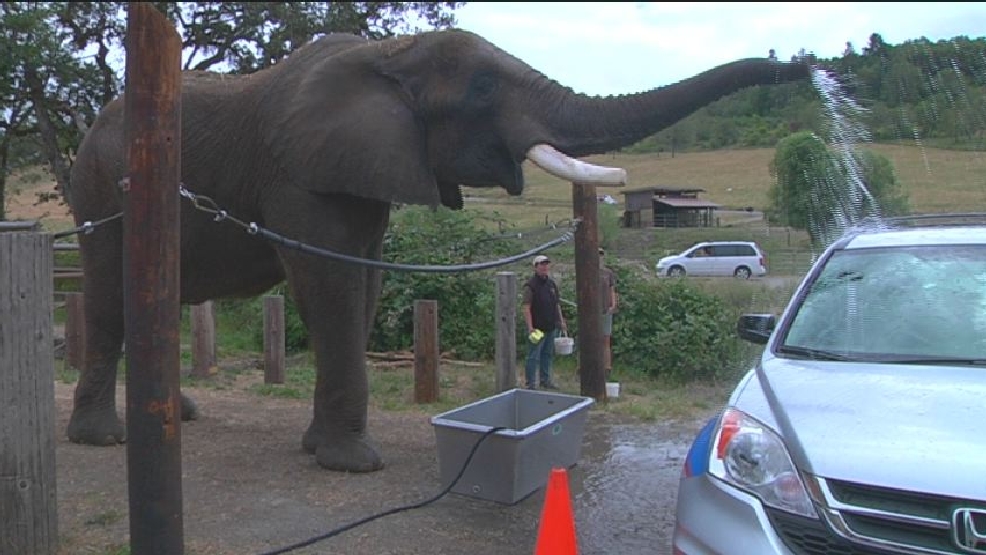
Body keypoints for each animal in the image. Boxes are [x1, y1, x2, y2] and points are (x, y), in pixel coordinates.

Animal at [66, 29, 811, 472]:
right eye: (482, 90)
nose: (802, 61)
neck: (391, 54)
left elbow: (363, 282)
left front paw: (321, 449)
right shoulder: (301, 175)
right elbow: (331, 285)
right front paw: (352, 463)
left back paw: (179, 415)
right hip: (104, 191)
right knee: (107, 299)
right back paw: (104, 439)